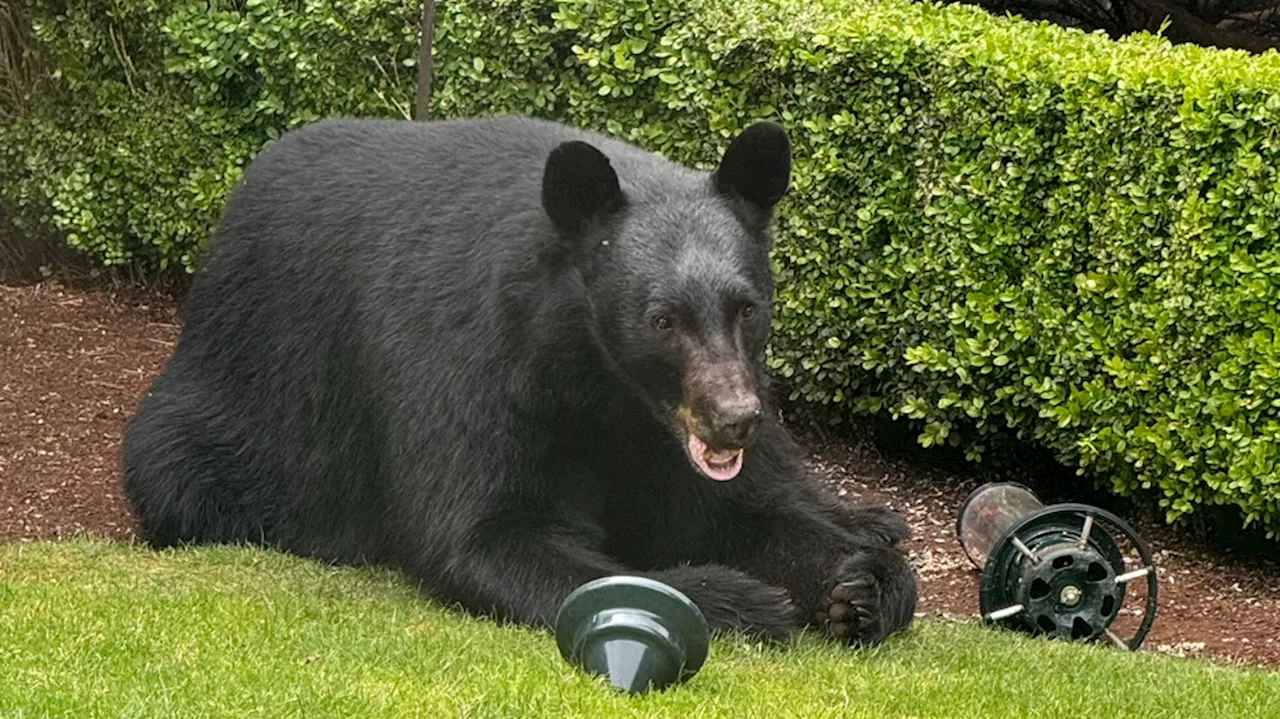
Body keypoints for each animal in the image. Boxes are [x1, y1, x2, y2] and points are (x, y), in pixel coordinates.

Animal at [120, 113, 916, 644]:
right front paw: (739, 599)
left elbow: (734, 510)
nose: (733, 417)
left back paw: (869, 517)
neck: (602, 385)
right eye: (661, 319)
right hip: (224, 415)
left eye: (747, 308)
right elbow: (487, 533)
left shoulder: (671, 429)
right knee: (181, 472)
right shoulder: (473, 366)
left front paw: (859, 580)